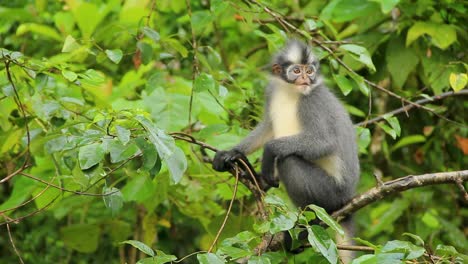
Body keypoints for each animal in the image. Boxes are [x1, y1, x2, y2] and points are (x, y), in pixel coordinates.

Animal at [211, 39, 358, 260]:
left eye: (309, 71)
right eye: (296, 71)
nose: (305, 78)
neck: (292, 92)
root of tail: (349, 195)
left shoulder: (313, 102)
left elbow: (325, 143)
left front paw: (268, 153)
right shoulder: (272, 91)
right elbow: (267, 127)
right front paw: (232, 153)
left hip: (332, 191)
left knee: (288, 160)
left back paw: (311, 221)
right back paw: (257, 179)